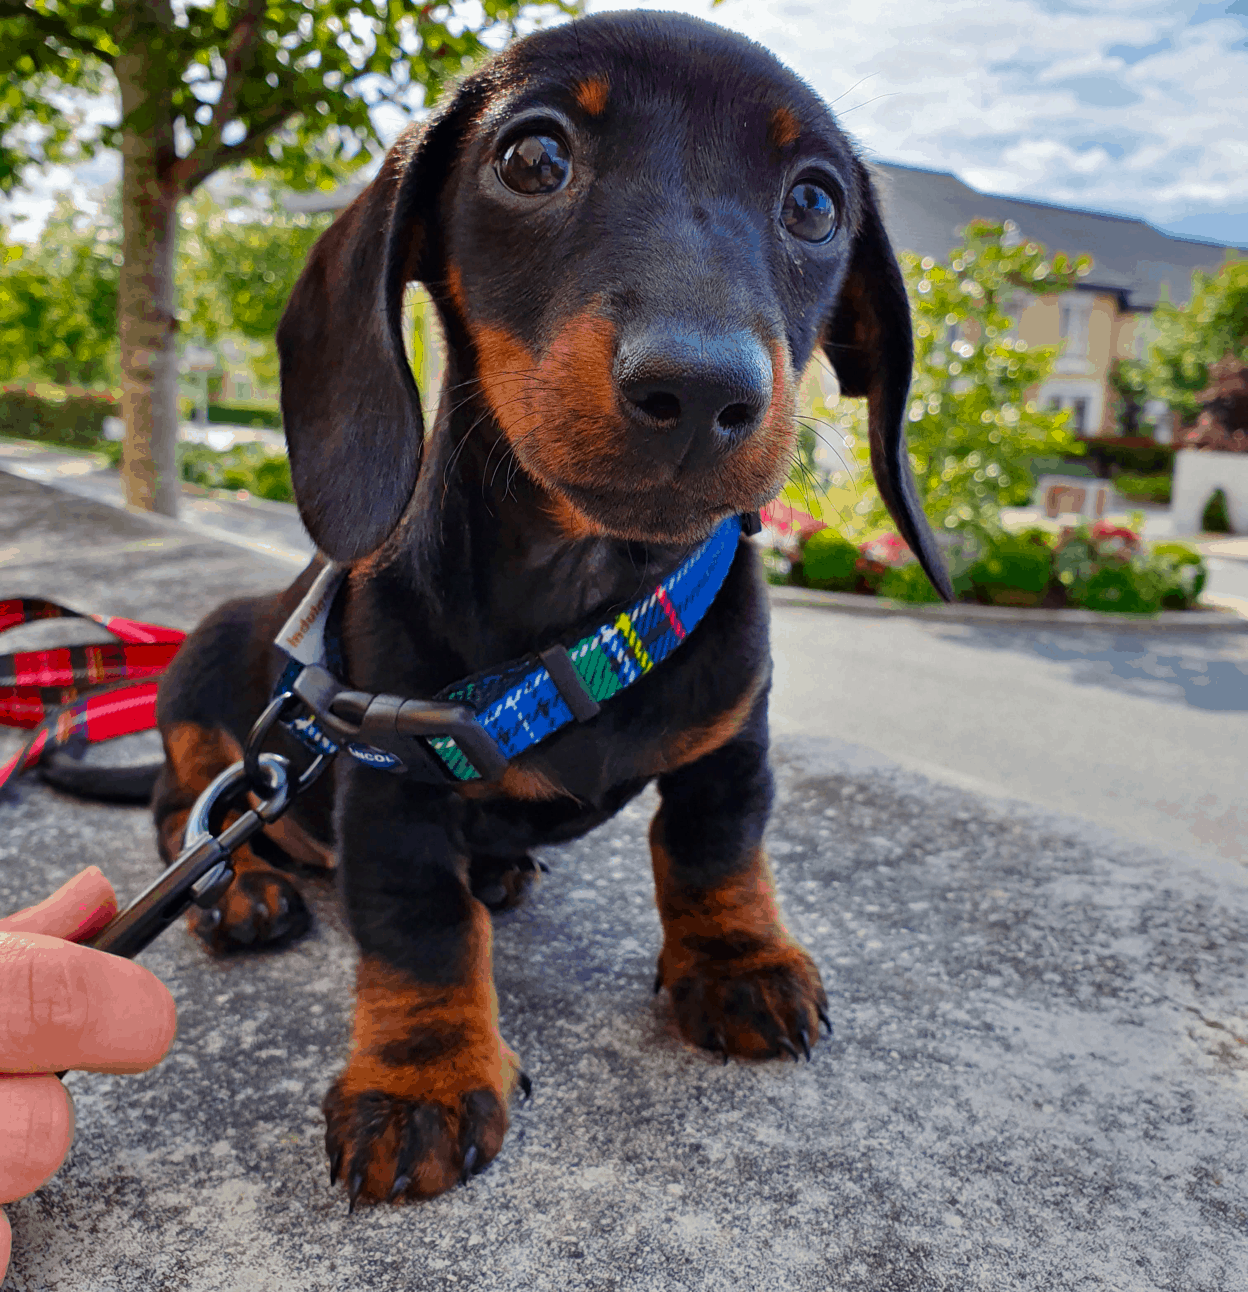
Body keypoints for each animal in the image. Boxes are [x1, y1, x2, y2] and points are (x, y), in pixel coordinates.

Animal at [151, 7, 950, 1209]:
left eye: (815, 203)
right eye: (533, 157)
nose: (702, 390)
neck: (585, 612)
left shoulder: (733, 741)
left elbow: (717, 850)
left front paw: (741, 961)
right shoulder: (386, 779)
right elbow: (423, 927)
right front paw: (421, 1079)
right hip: (210, 666)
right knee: (188, 804)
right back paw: (241, 886)